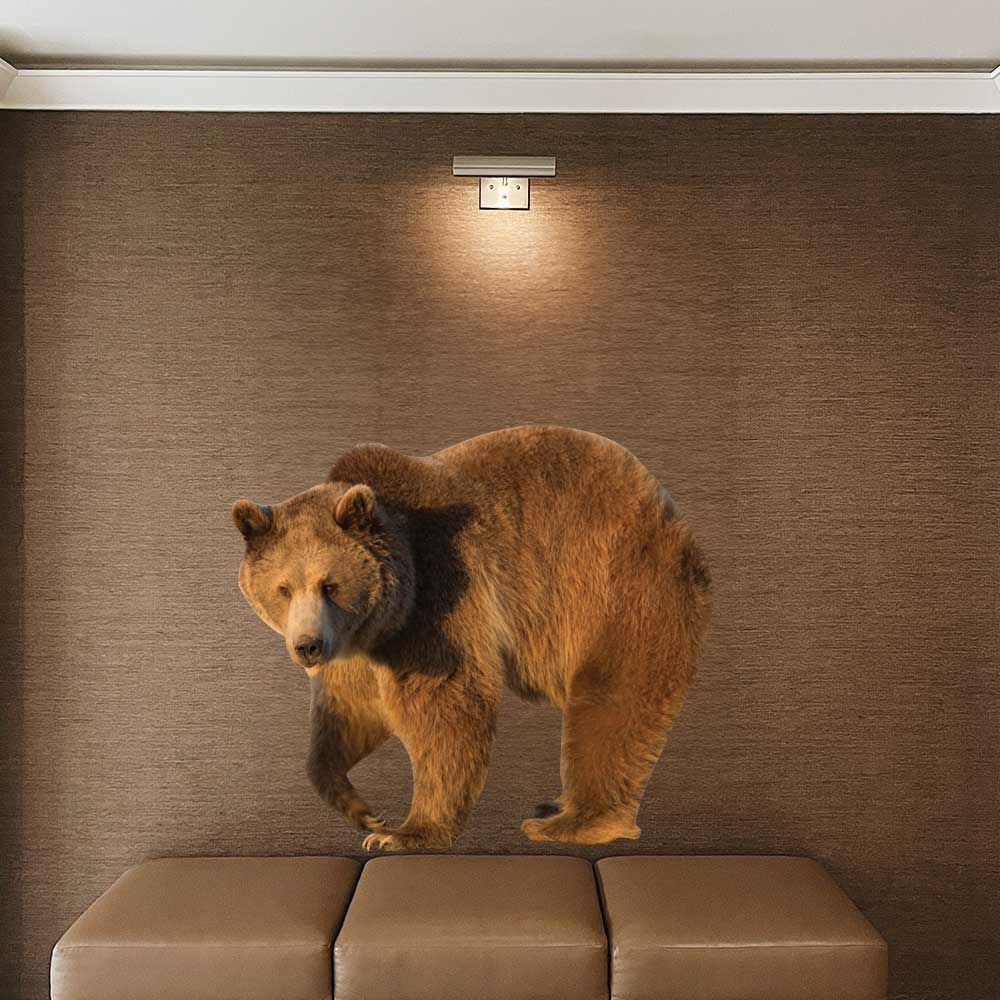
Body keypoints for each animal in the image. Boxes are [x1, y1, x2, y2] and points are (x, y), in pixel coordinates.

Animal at [231, 425, 711, 850]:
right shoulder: (360, 646)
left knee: (611, 702)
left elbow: (445, 705)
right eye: (283, 588)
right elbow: (349, 712)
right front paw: (361, 808)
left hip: (614, 584)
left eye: (329, 584)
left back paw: (570, 822)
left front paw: (405, 831)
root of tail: (667, 508)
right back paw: (554, 807)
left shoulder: (440, 597)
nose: (307, 645)